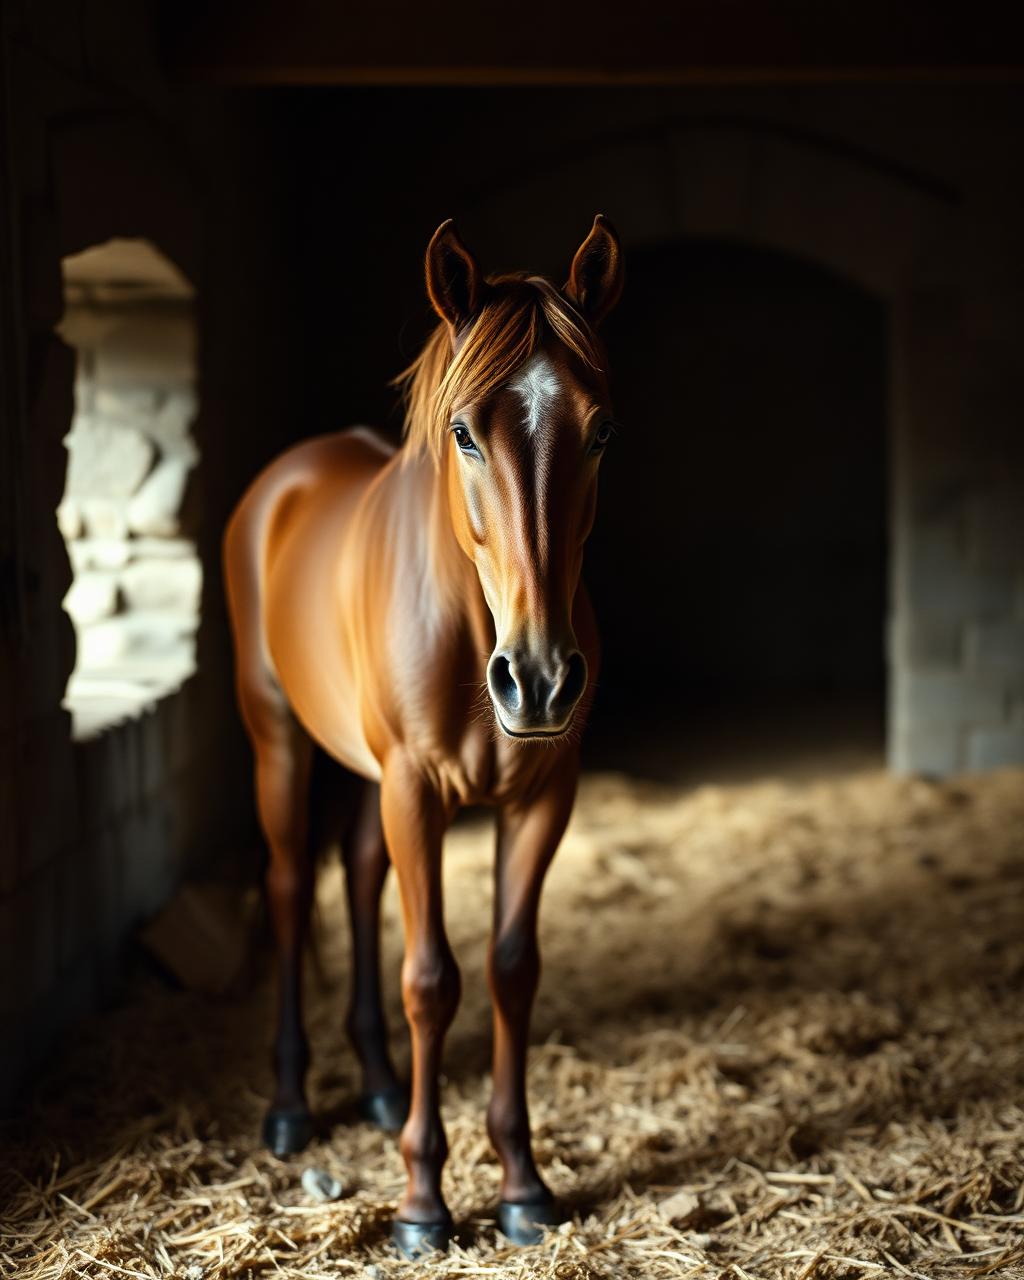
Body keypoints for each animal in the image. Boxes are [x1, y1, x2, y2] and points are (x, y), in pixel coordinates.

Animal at [223, 215, 624, 1256]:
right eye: (463, 432)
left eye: (601, 429)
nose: (540, 677)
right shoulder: (415, 789)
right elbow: (431, 981)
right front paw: (421, 1202)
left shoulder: (542, 799)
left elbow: (511, 971)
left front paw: (522, 1182)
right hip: (280, 745)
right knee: (293, 890)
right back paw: (290, 1105)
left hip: (369, 777)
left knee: (361, 874)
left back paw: (374, 1086)